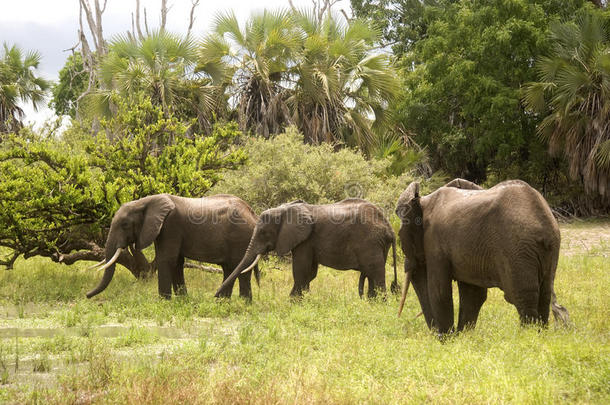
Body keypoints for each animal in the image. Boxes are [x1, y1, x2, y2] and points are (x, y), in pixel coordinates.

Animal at [215, 198, 400, 296]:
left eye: (263, 233)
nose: (215, 298)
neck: (286, 208)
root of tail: (389, 227)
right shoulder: (308, 241)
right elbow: (310, 272)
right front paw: (301, 298)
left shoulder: (305, 240)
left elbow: (301, 269)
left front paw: (292, 301)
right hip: (378, 244)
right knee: (371, 273)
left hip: (371, 242)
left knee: (375, 272)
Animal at [396, 178, 568, 332]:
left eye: (400, 235)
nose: (434, 333)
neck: (424, 201)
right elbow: (472, 295)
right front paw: (462, 337)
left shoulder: (434, 243)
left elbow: (439, 292)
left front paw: (446, 340)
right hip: (548, 249)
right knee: (544, 294)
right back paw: (539, 335)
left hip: (516, 248)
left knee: (521, 296)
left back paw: (528, 336)